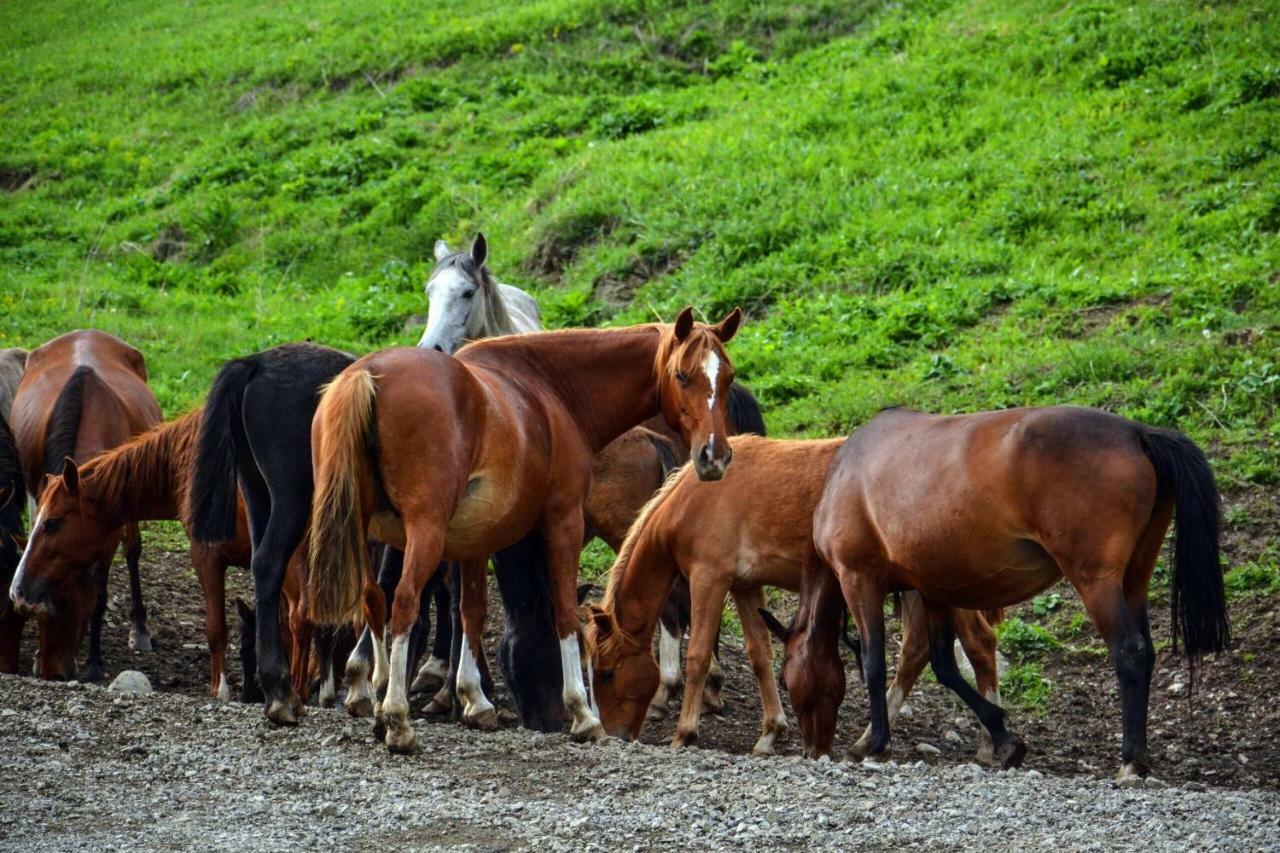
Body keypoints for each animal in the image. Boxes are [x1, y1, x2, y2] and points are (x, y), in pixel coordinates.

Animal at [7, 327, 160, 681]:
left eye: (63, 606)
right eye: (36, 614)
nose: (52, 672)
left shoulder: (109, 531)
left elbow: (100, 592)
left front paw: (93, 662)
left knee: (133, 550)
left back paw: (139, 627)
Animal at [304, 306, 742, 753]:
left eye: (728, 377)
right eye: (682, 375)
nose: (714, 455)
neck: (551, 392)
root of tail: (368, 374)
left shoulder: (474, 538)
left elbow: (471, 611)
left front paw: (474, 700)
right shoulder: (562, 519)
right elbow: (565, 612)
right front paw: (583, 714)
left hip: (363, 529)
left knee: (374, 599)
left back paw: (377, 702)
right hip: (423, 533)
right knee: (404, 601)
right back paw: (396, 718)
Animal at [586, 438, 1003, 758]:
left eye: (606, 673)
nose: (614, 735)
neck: (694, 498)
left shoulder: (709, 579)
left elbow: (698, 655)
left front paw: (684, 733)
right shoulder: (744, 586)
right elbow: (759, 655)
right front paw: (771, 732)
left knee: (980, 645)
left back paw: (989, 743)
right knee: (916, 651)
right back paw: (868, 740)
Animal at [788, 404, 1228, 778]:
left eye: (789, 675)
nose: (812, 750)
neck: (846, 472)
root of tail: (1137, 432)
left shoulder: (858, 579)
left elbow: (875, 662)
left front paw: (877, 741)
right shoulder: (933, 591)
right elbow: (944, 665)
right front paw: (1002, 735)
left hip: (1097, 582)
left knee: (1129, 651)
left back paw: (1131, 762)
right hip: (1134, 580)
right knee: (1146, 651)